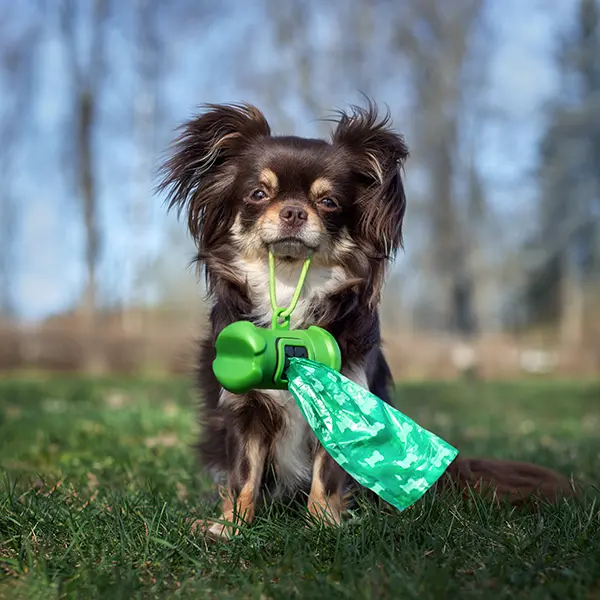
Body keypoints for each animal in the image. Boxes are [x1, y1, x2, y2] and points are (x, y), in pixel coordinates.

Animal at [161, 101, 576, 536]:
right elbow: (244, 474)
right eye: (258, 194)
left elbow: (326, 477)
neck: (292, 288)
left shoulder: (345, 399)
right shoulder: (246, 411)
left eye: (328, 202)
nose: (293, 211)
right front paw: (232, 527)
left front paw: (323, 526)